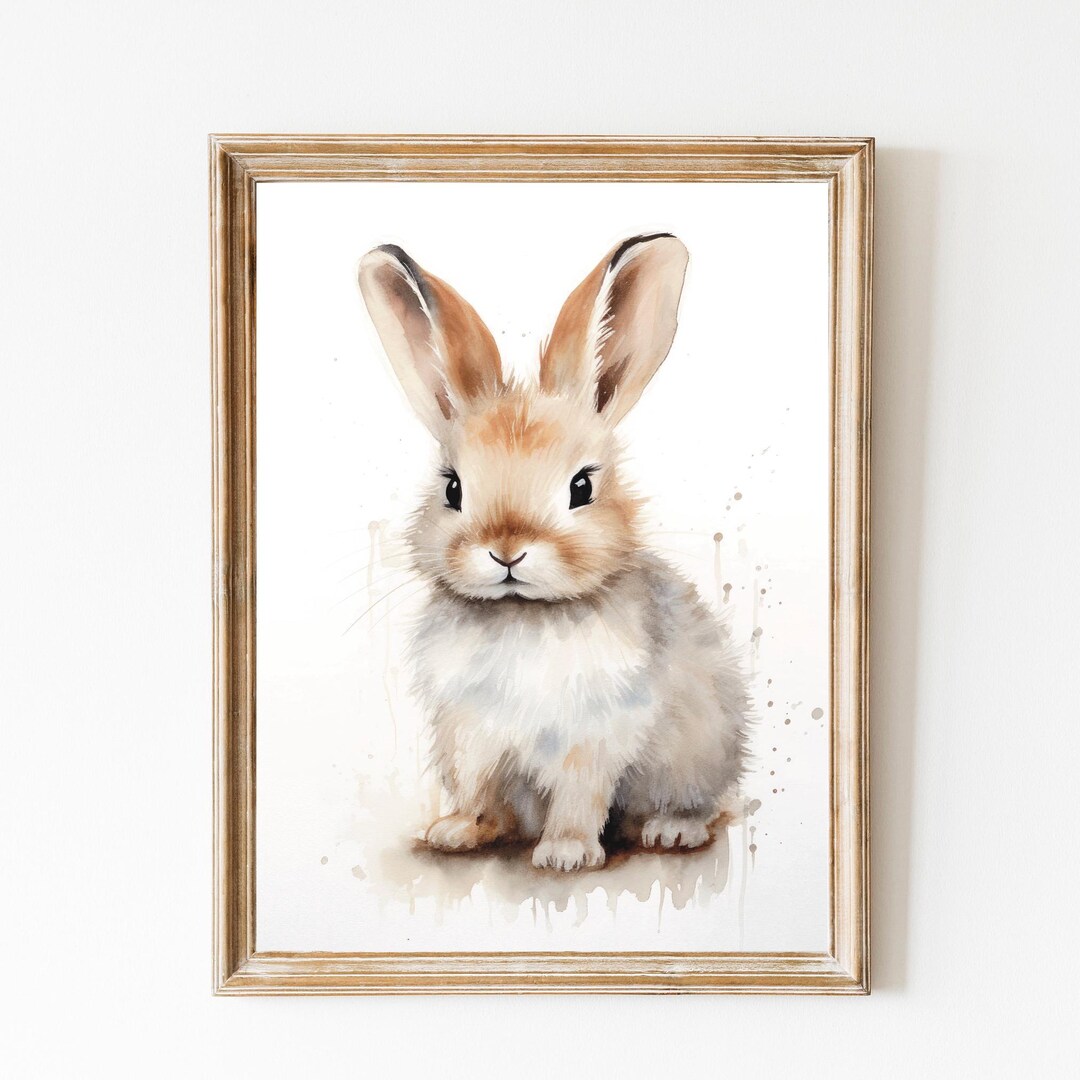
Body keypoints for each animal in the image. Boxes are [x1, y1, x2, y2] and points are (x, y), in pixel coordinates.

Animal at [357, 233, 750, 872]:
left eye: (582, 487)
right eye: (453, 489)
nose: (507, 552)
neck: (523, 614)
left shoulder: (594, 737)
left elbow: (579, 796)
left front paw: (566, 852)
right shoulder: (471, 734)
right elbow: (478, 789)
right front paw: (457, 831)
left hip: (699, 754)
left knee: (695, 803)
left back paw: (672, 830)